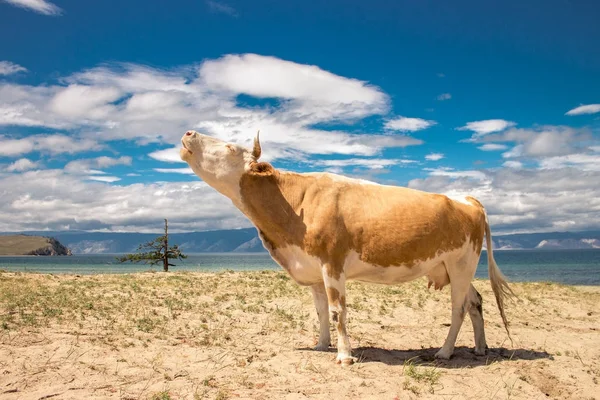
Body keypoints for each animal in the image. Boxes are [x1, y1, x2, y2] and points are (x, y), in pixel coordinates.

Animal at [180, 130, 512, 366]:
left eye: (229, 147)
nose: (188, 133)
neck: (294, 206)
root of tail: (467, 199)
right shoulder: (313, 270)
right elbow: (321, 312)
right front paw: (321, 345)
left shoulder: (333, 264)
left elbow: (338, 310)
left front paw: (344, 355)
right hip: (452, 268)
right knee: (476, 301)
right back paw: (480, 348)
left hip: (461, 264)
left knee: (458, 308)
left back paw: (444, 352)